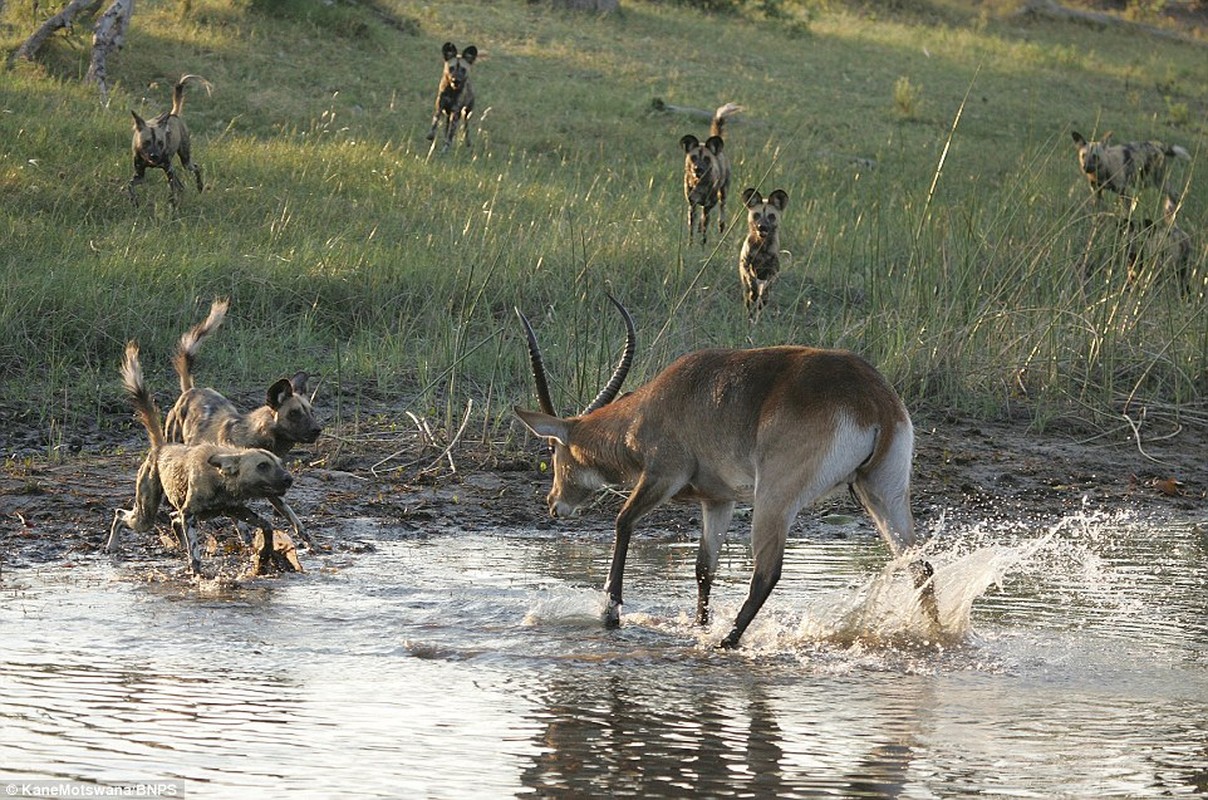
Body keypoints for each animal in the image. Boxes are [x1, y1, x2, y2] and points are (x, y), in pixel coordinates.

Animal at [128, 73, 213, 207]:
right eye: (146, 142)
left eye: (160, 143)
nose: (155, 156)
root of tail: (173, 114)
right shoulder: (140, 175)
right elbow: (129, 186)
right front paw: (134, 201)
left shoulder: (168, 170)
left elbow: (172, 194)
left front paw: (172, 207)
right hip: (174, 168)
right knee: (181, 186)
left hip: (184, 161)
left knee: (195, 168)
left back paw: (200, 188)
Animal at [165, 297, 326, 548]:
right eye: (294, 414)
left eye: (311, 411)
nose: (317, 430)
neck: (258, 438)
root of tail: (190, 390)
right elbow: (239, 519)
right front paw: (245, 536)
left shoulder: (273, 487)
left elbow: (294, 518)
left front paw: (312, 543)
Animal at [509, 294, 942, 652]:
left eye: (552, 448)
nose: (553, 503)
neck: (653, 404)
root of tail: (871, 397)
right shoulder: (719, 501)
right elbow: (704, 567)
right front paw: (699, 625)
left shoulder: (662, 477)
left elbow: (623, 521)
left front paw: (610, 613)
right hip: (880, 493)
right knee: (920, 565)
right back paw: (937, 634)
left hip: (775, 498)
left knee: (766, 572)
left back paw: (727, 642)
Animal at [676, 103, 739, 247]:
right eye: (693, 157)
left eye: (706, 159)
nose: (697, 169)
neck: (698, 183)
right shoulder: (692, 205)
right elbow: (692, 229)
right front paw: (690, 245)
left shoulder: (709, 204)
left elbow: (705, 229)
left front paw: (703, 246)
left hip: (723, 192)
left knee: (721, 208)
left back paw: (721, 225)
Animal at [734, 188, 792, 323]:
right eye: (756, 215)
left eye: (771, 216)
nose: (762, 226)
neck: (761, 246)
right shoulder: (746, 267)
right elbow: (752, 284)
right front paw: (754, 293)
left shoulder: (772, 272)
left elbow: (765, 293)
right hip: (745, 286)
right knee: (749, 302)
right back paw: (750, 319)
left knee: (761, 303)